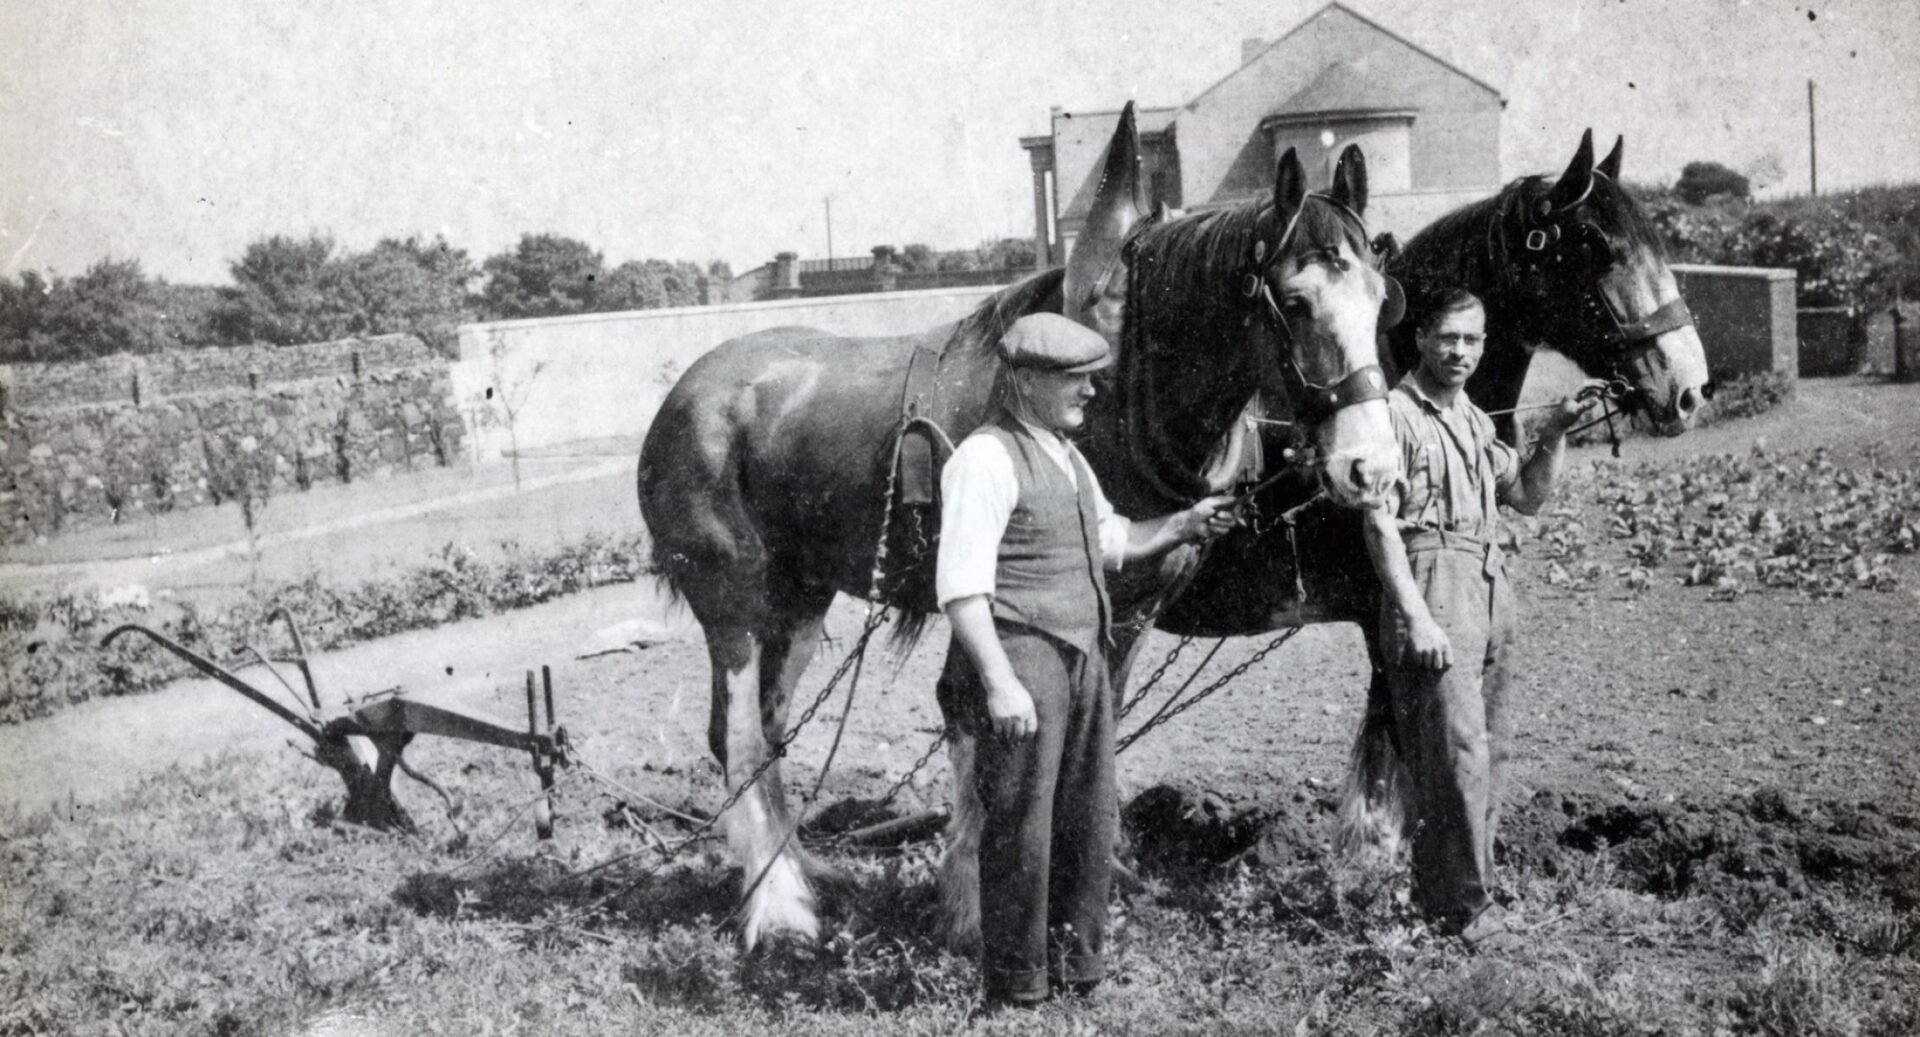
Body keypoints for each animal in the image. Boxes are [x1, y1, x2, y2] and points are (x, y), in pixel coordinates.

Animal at [637, 107, 1405, 948]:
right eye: (1295, 301)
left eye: (1380, 297)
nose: (1370, 465)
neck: (1121, 388)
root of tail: (686, 394)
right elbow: (988, 724)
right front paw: (978, 902)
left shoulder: (1127, 613)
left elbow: (1089, 727)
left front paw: (1097, 878)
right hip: (734, 601)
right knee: (740, 733)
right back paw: (777, 906)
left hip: (801, 598)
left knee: (768, 728)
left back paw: (799, 870)